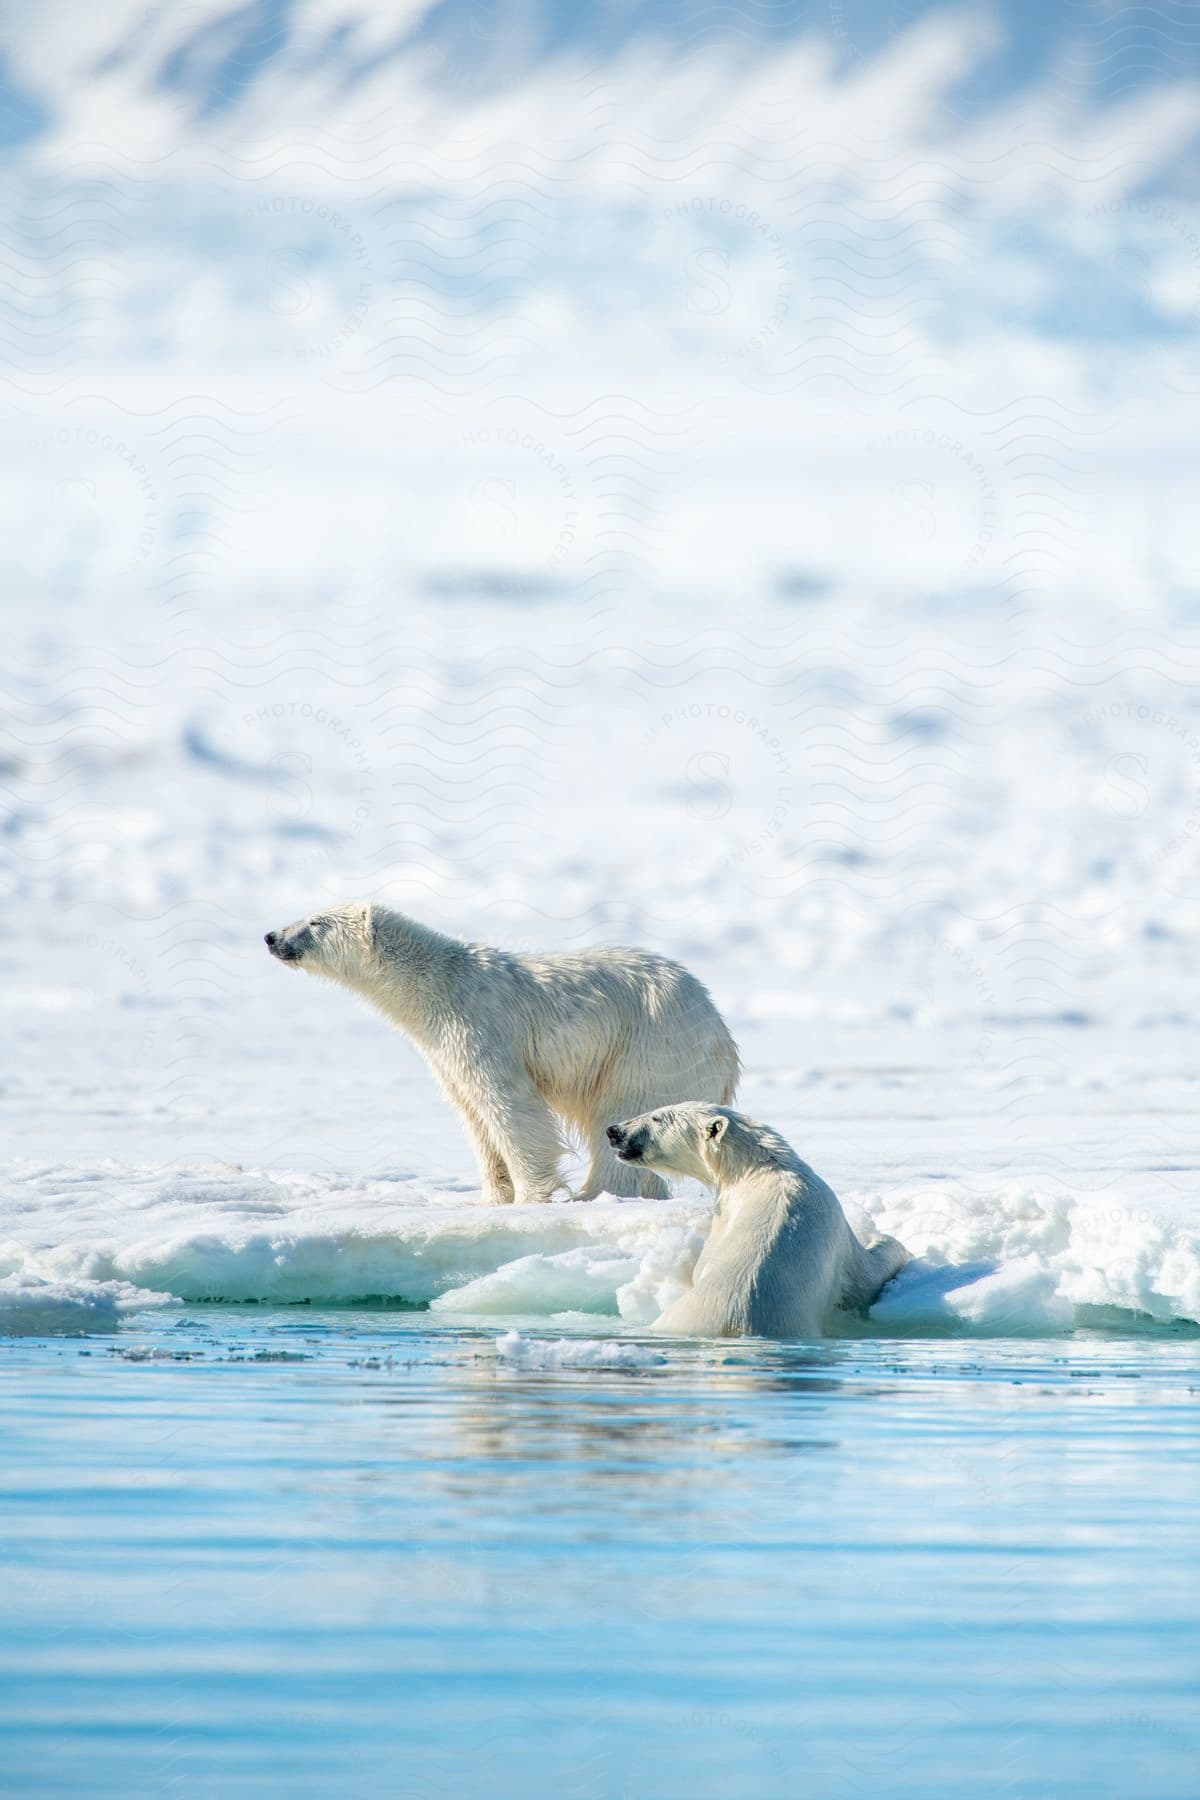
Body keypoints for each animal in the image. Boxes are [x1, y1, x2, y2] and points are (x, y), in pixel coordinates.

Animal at [268, 900, 741, 1209]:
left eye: (316, 921)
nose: (272, 936)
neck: (436, 986)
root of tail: (723, 1037)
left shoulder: (480, 1025)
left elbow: (510, 1107)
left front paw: (532, 1198)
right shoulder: (443, 1050)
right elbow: (475, 1115)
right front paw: (491, 1199)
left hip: (649, 1044)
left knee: (621, 1108)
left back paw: (592, 1194)